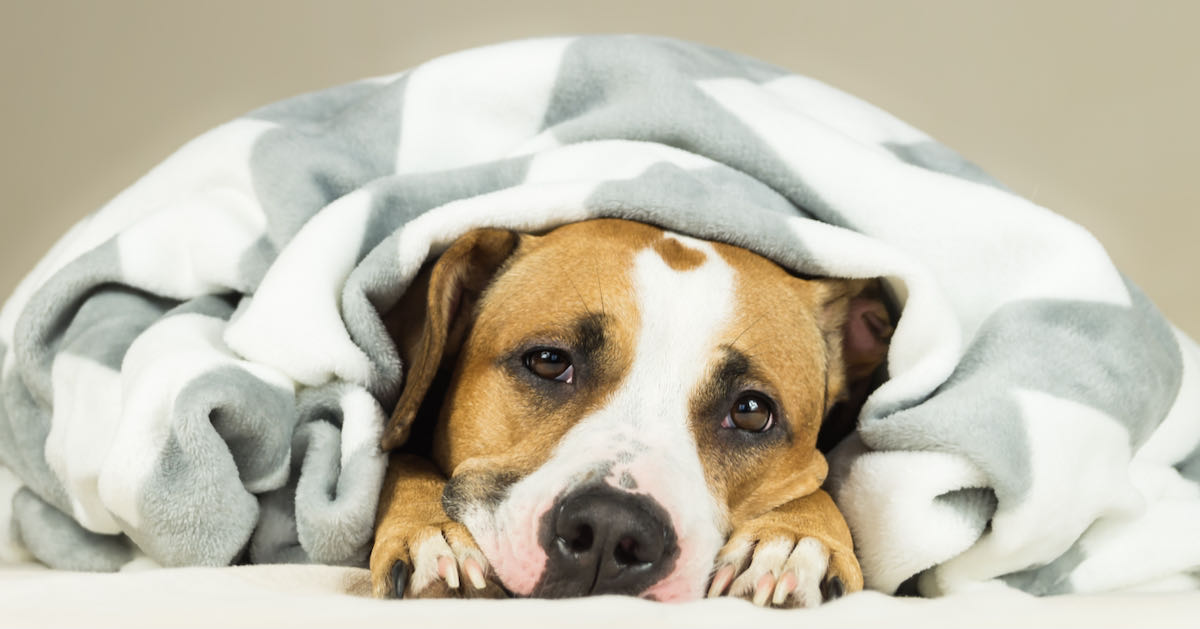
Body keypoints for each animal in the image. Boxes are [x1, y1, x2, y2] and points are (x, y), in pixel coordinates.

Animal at [364, 218, 892, 607]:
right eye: (549, 360)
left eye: (749, 412)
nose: (610, 528)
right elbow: (401, 461)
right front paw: (434, 533)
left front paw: (794, 539)